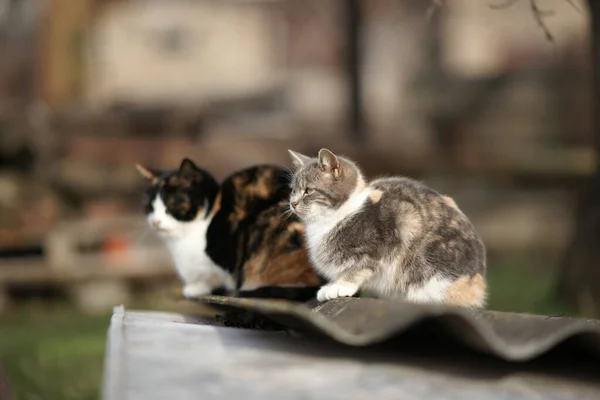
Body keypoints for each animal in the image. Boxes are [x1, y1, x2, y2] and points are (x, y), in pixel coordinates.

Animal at [288, 148, 488, 308]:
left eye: (308, 190)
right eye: (293, 190)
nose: (292, 203)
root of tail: (479, 285)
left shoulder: (376, 249)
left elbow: (357, 270)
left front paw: (339, 286)